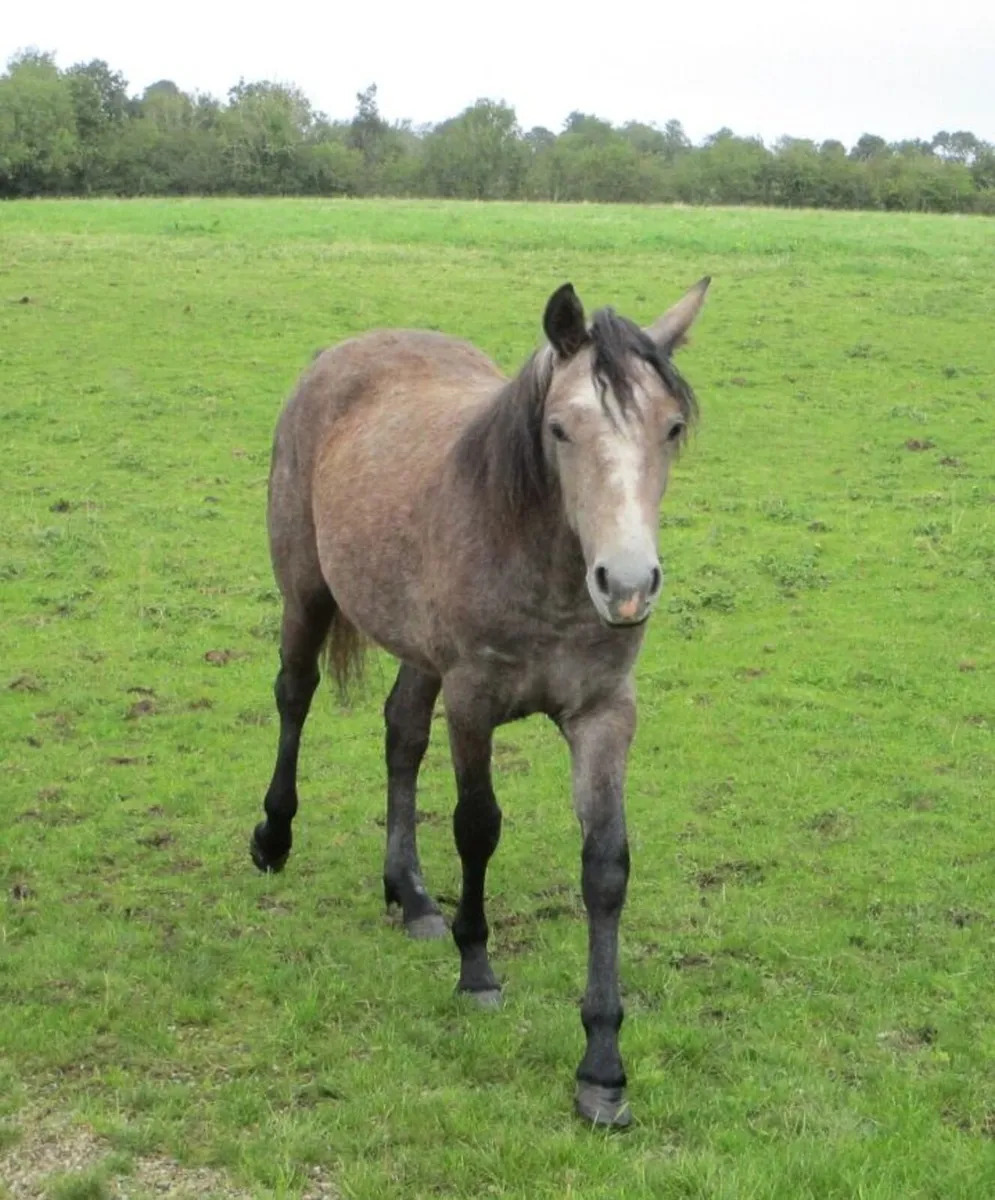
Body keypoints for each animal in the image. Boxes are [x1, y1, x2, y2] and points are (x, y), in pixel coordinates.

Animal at [250, 277, 710, 1127]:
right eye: (560, 428)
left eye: (669, 428)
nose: (627, 586)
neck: (542, 563)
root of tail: (347, 350)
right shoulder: (472, 701)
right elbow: (476, 827)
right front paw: (477, 970)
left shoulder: (604, 714)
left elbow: (605, 865)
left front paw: (602, 1066)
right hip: (306, 590)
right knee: (294, 695)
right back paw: (274, 837)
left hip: (417, 651)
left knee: (400, 734)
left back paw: (410, 895)